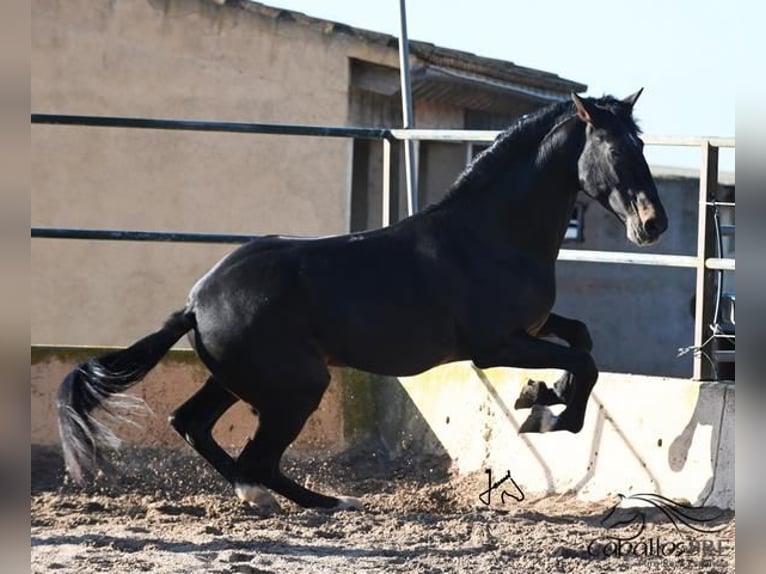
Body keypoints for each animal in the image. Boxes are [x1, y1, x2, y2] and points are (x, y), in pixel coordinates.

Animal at [58, 91, 664, 512]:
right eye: (614, 148)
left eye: (641, 145)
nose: (652, 224)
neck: (492, 235)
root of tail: (195, 302)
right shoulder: (495, 346)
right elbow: (583, 360)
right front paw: (545, 416)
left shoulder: (530, 329)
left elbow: (582, 338)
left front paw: (539, 394)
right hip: (297, 388)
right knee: (258, 459)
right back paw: (329, 501)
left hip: (241, 381)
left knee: (193, 424)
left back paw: (265, 498)